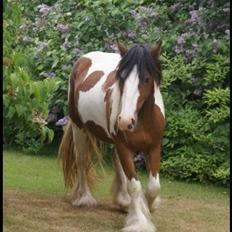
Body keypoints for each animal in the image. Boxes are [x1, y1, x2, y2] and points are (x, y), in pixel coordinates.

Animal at [59, 40, 166, 231]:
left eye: (146, 79)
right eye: (121, 78)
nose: (125, 121)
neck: (143, 120)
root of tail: (84, 59)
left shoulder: (154, 147)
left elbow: (154, 187)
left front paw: (148, 206)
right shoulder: (124, 146)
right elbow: (135, 186)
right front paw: (139, 222)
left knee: (115, 160)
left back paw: (123, 201)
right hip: (79, 128)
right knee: (81, 160)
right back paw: (84, 198)